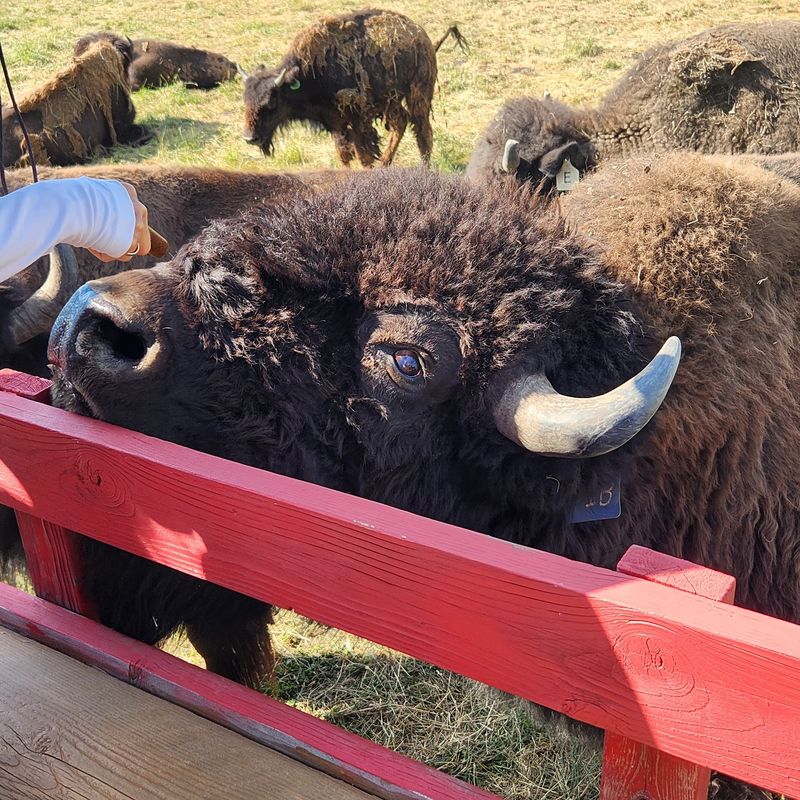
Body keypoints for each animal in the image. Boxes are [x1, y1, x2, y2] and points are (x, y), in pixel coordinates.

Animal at [242, 9, 466, 166]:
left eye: (271, 102)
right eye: (245, 101)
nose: (250, 138)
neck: (307, 74)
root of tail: (422, 36)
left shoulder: (356, 120)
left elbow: (363, 156)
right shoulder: (337, 123)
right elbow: (344, 154)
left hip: (417, 95)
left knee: (422, 131)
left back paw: (420, 166)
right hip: (390, 102)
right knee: (402, 123)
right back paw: (385, 163)